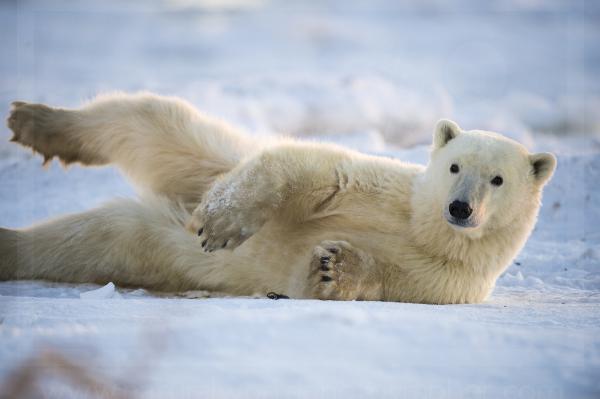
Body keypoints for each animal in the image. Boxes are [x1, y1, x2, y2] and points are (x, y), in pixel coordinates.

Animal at [0, 93, 556, 304]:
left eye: (497, 179)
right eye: (455, 166)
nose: (459, 207)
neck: (425, 228)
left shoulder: (451, 281)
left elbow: (368, 279)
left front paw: (333, 267)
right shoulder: (394, 191)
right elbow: (318, 170)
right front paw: (221, 225)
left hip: (152, 242)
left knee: (98, 237)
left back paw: (11, 243)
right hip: (213, 157)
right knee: (149, 118)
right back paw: (37, 122)